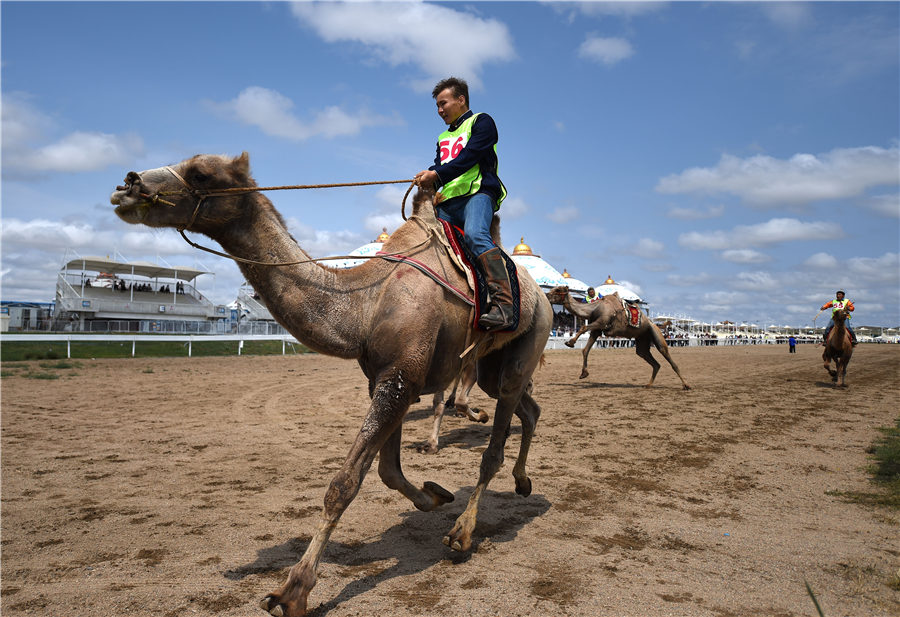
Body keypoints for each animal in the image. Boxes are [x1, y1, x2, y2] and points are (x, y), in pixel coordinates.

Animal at [109, 153, 552, 616]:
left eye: (200, 173)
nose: (128, 184)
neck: (364, 306)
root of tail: (541, 293)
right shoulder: (386, 379)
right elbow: (388, 470)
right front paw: (434, 495)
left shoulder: (400, 378)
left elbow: (343, 484)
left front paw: (292, 592)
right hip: (489, 367)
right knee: (528, 408)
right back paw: (521, 482)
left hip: (528, 340)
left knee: (494, 447)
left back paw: (463, 533)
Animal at [544, 284, 692, 390]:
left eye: (558, 290)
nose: (546, 294)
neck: (594, 308)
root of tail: (654, 323)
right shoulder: (597, 331)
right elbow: (585, 349)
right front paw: (583, 373)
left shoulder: (601, 322)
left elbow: (583, 328)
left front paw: (570, 342)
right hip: (642, 339)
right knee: (652, 361)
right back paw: (648, 385)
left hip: (656, 335)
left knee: (668, 357)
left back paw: (686, 385)